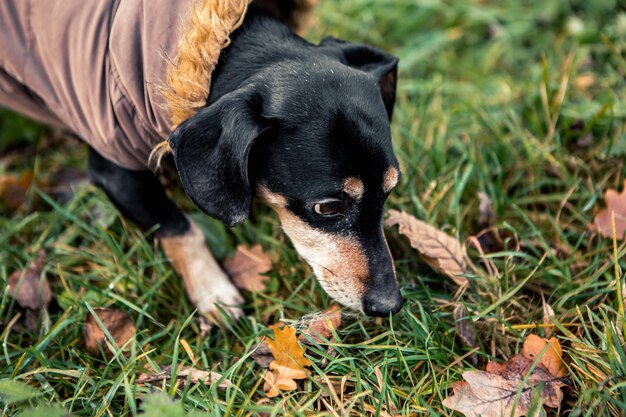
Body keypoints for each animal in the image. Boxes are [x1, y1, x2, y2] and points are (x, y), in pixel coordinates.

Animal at [0, 0, 402, 318]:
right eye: (328, 208)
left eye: (389, 192)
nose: (389, 305)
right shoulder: (116, 168)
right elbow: (181, 229)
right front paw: (214, 293)